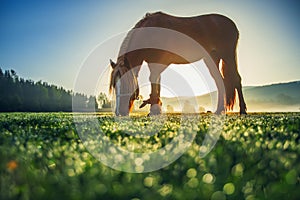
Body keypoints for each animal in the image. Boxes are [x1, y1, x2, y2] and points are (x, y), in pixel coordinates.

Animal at [109, 11, 247, 115]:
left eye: (126, 84)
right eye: (115, 85)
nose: (119, 112)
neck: (150, 33)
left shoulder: (157, 63)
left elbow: (154, 81)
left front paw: (154, 110)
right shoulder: (154, 63)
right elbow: (157, 83)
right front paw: (156, 108)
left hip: (228, 56)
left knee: (236, 79)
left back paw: (243, 110)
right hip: (212, 59)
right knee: (219, 81)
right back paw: (219, 110)